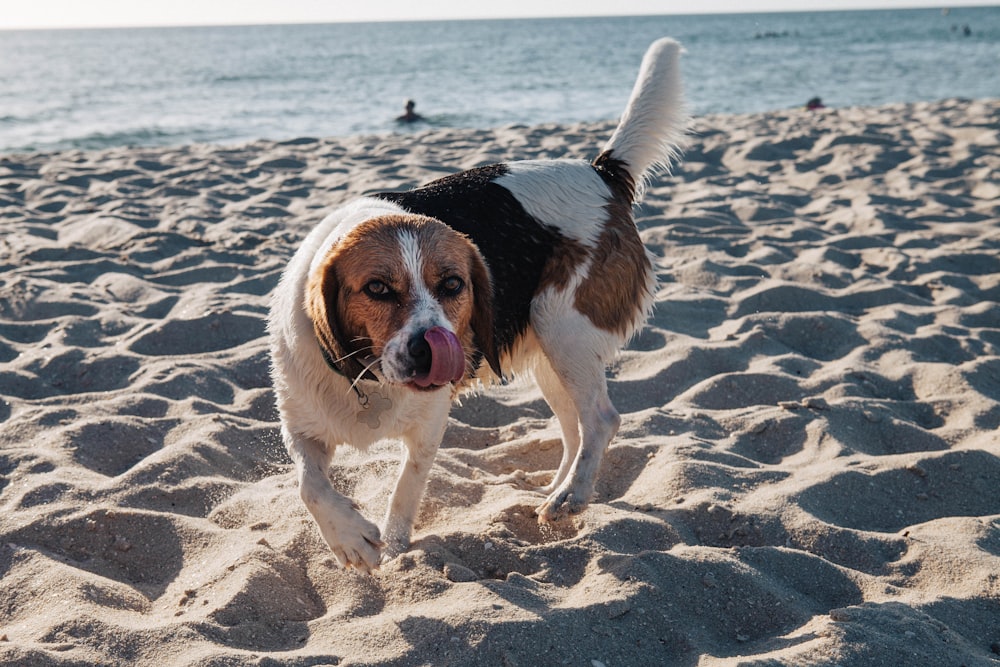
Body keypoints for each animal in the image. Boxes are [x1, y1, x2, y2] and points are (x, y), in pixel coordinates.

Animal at [266, 36, 688, 572]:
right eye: (377, 288)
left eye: (452, 284)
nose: (430, 349)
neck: (370, 376)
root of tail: (599, 173)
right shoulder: (301, 424)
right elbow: (309, 485)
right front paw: (350, 538)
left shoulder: (427, 427)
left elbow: (404, 492)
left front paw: (395, 550)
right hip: (552, 356)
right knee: (574, 428)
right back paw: (557, 489)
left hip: (564, 331)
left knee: (601, 420)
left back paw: (572, 495)